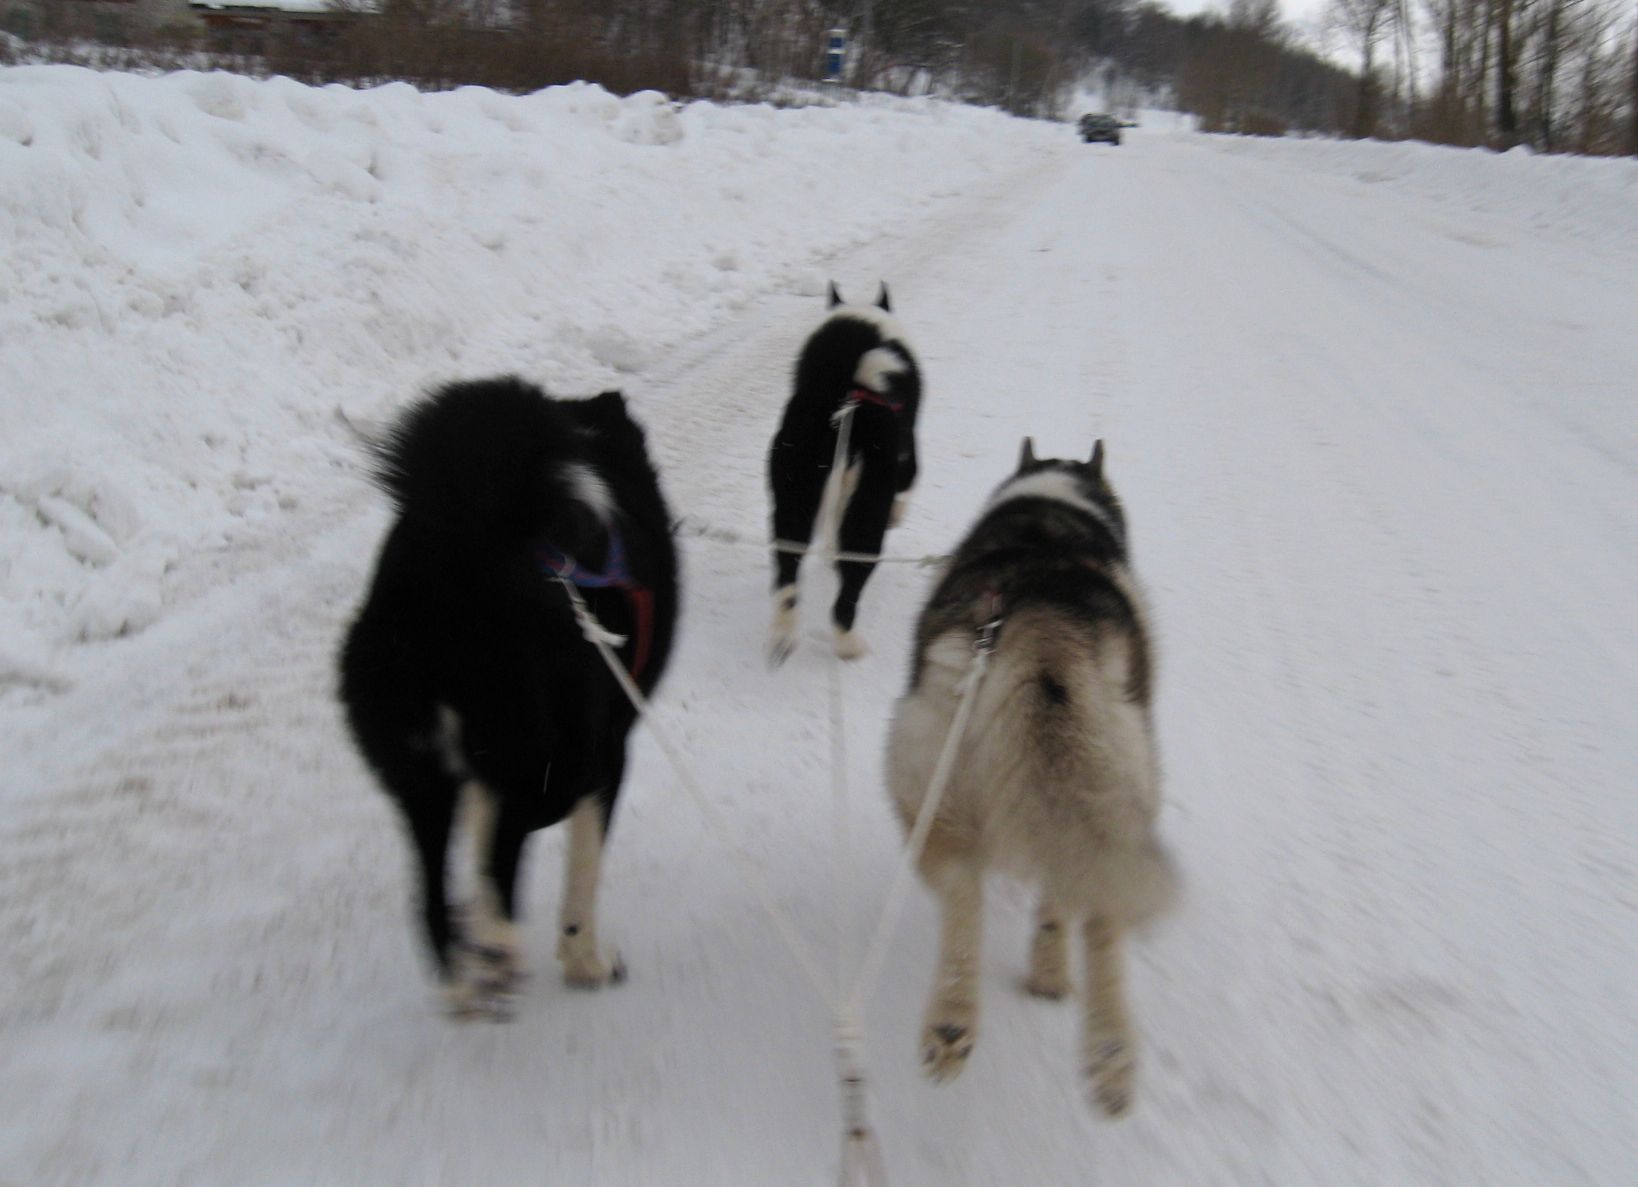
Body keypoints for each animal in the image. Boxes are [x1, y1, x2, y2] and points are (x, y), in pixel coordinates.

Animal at [338, 377, 678, 1014]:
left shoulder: (473, 773)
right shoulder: (610, 758)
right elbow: (583, 871)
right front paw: (586, 962)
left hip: (419, 772)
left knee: (432, 897)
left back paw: (463, 976)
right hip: (555, 759)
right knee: (506, 850)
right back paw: (497, 951)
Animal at [767, 282, 922, 665]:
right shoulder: (908, 460)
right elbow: (907, 488)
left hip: (793, 501)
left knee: (787, 577)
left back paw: (782, 635)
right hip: (867, 516)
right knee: (846, 597)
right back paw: (850, 646)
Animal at [884, 438, 1176, 1116]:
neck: (1052, 512)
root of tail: (1042, 614)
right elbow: (1059, 903)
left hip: (929, 781)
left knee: (962, 893)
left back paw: (953, 1020)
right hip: (1125, 786)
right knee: (1098, 918)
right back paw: (1109, 1052)